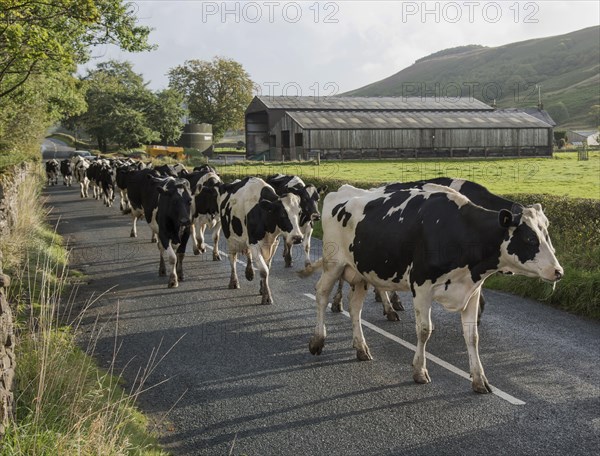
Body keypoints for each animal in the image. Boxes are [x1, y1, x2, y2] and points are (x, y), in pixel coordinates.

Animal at [217, 176, 304, 304]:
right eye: (282, 214)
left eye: (299, 213)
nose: (297, 237)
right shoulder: (254, 242)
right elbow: (264, 270)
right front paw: (267, 297)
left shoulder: (273, 244)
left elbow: (267, 267)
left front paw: (262, 289)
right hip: (230, 237)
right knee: (232, 258)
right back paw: (234, 281)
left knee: (247, 253)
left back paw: (249, 272)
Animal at [304, 183, 564, 394]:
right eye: (529, 239)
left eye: (546, 233)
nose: (558, 271)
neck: (460, 231)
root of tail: (342, 190)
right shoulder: (421, 287)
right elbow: (424, 330)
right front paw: (420, 371)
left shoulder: (472, 291)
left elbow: (472, 336)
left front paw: (479, 379)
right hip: (334, 263)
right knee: (321, 294)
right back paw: (317, 341)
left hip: (360, 273)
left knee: (355, 309)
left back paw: (361, 348)